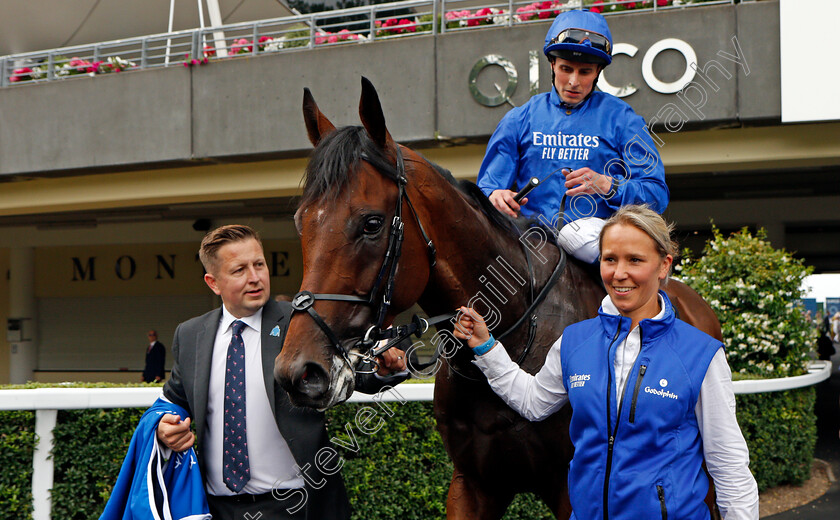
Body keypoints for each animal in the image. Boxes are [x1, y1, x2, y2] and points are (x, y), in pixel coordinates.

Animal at [276, 78, 720, 520]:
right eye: (300, 221)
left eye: (371, 222)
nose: (298, 372)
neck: (519, 330)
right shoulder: (473, 484)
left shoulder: (572, 488)